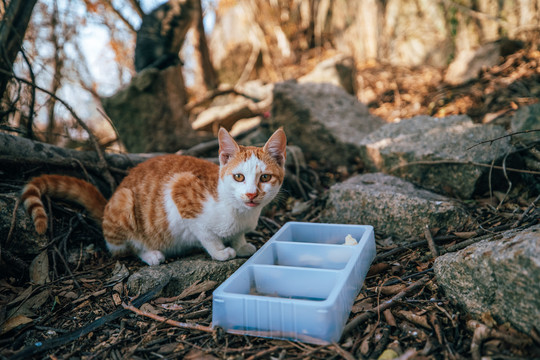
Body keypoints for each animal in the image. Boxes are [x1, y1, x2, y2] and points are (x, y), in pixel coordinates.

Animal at [22, 129, 286, 264]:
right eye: (239, 177)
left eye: (265, 178)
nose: (251, 194)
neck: (239, 212)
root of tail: (108, 204)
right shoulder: (180, 190)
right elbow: (206, 234)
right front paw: (221, 251)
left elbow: (238, 234)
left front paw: (240, 244)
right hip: (124, 203)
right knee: (123, 249)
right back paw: (151, 254)